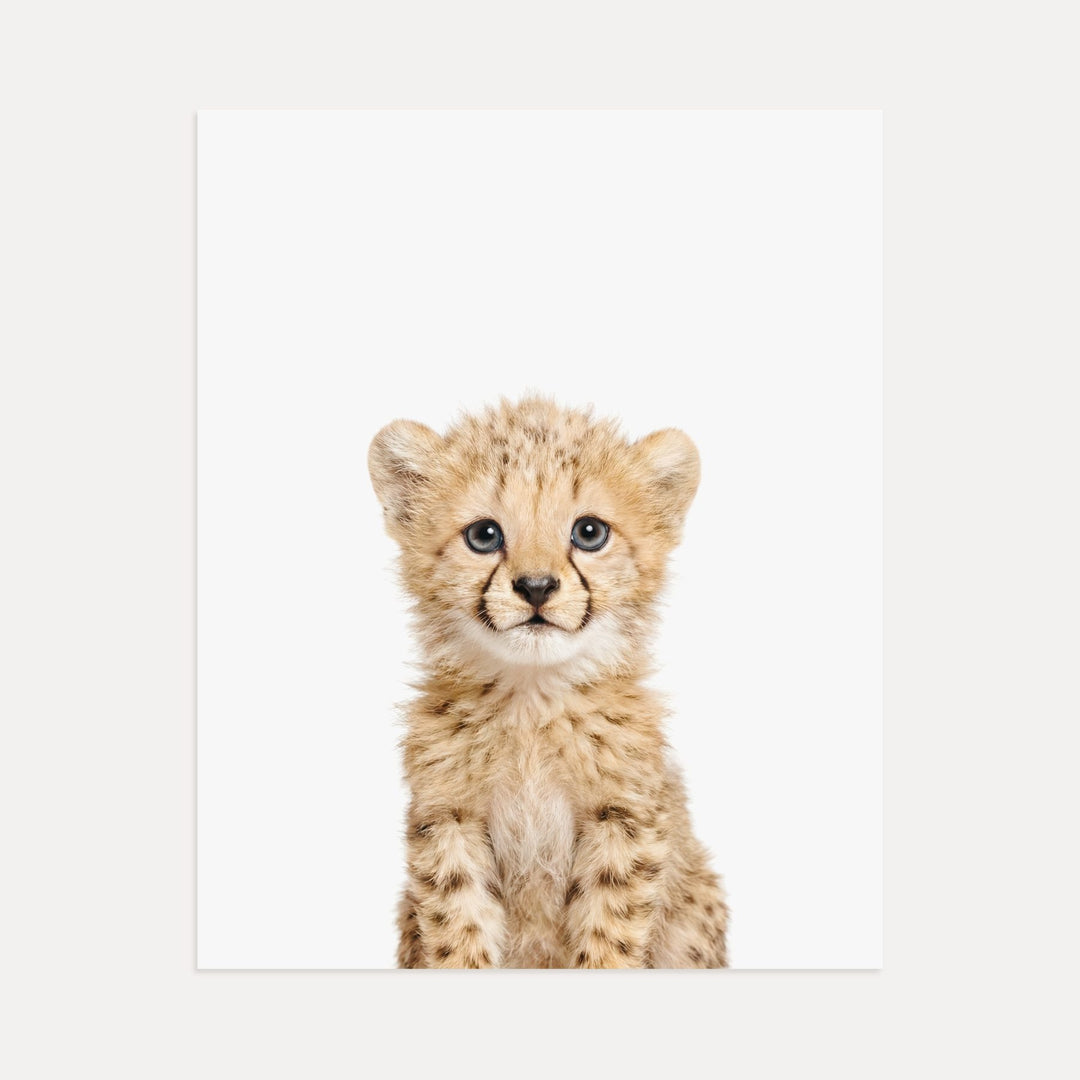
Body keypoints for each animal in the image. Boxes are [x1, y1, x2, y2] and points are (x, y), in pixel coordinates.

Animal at [368, 395, 728, 968]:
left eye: (589, 533)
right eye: (484, 535)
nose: (536, 587)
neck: (532, 700)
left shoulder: (623, 820)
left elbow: (609, 935)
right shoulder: (449, 821)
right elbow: (457, 930)